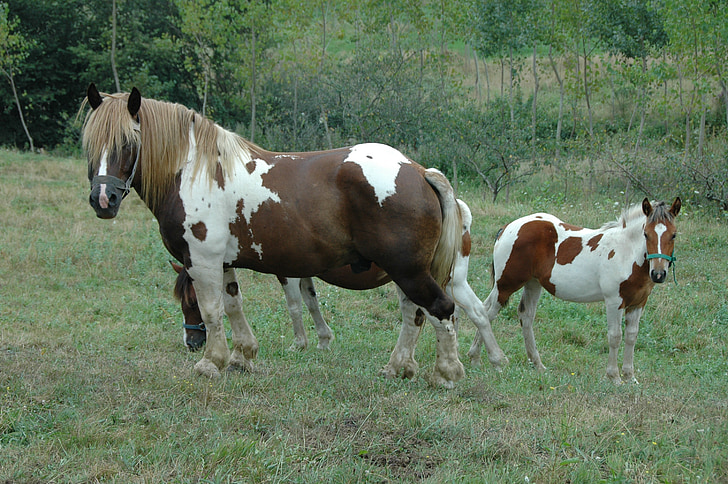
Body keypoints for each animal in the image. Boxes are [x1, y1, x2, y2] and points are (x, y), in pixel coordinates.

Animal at [470, 199, 680, 384]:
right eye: (646, 234)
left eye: (674, 235)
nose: (658, 274)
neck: (626, 253)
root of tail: (507, 228)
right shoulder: (614, 301)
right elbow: (615, 337)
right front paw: (614, 377)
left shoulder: (638, 303)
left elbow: (631, 337)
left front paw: (630, 377)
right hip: (506, 285)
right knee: (487, 313)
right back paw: (480, 359)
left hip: (531, 284)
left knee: (523, 315)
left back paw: (537, 365)